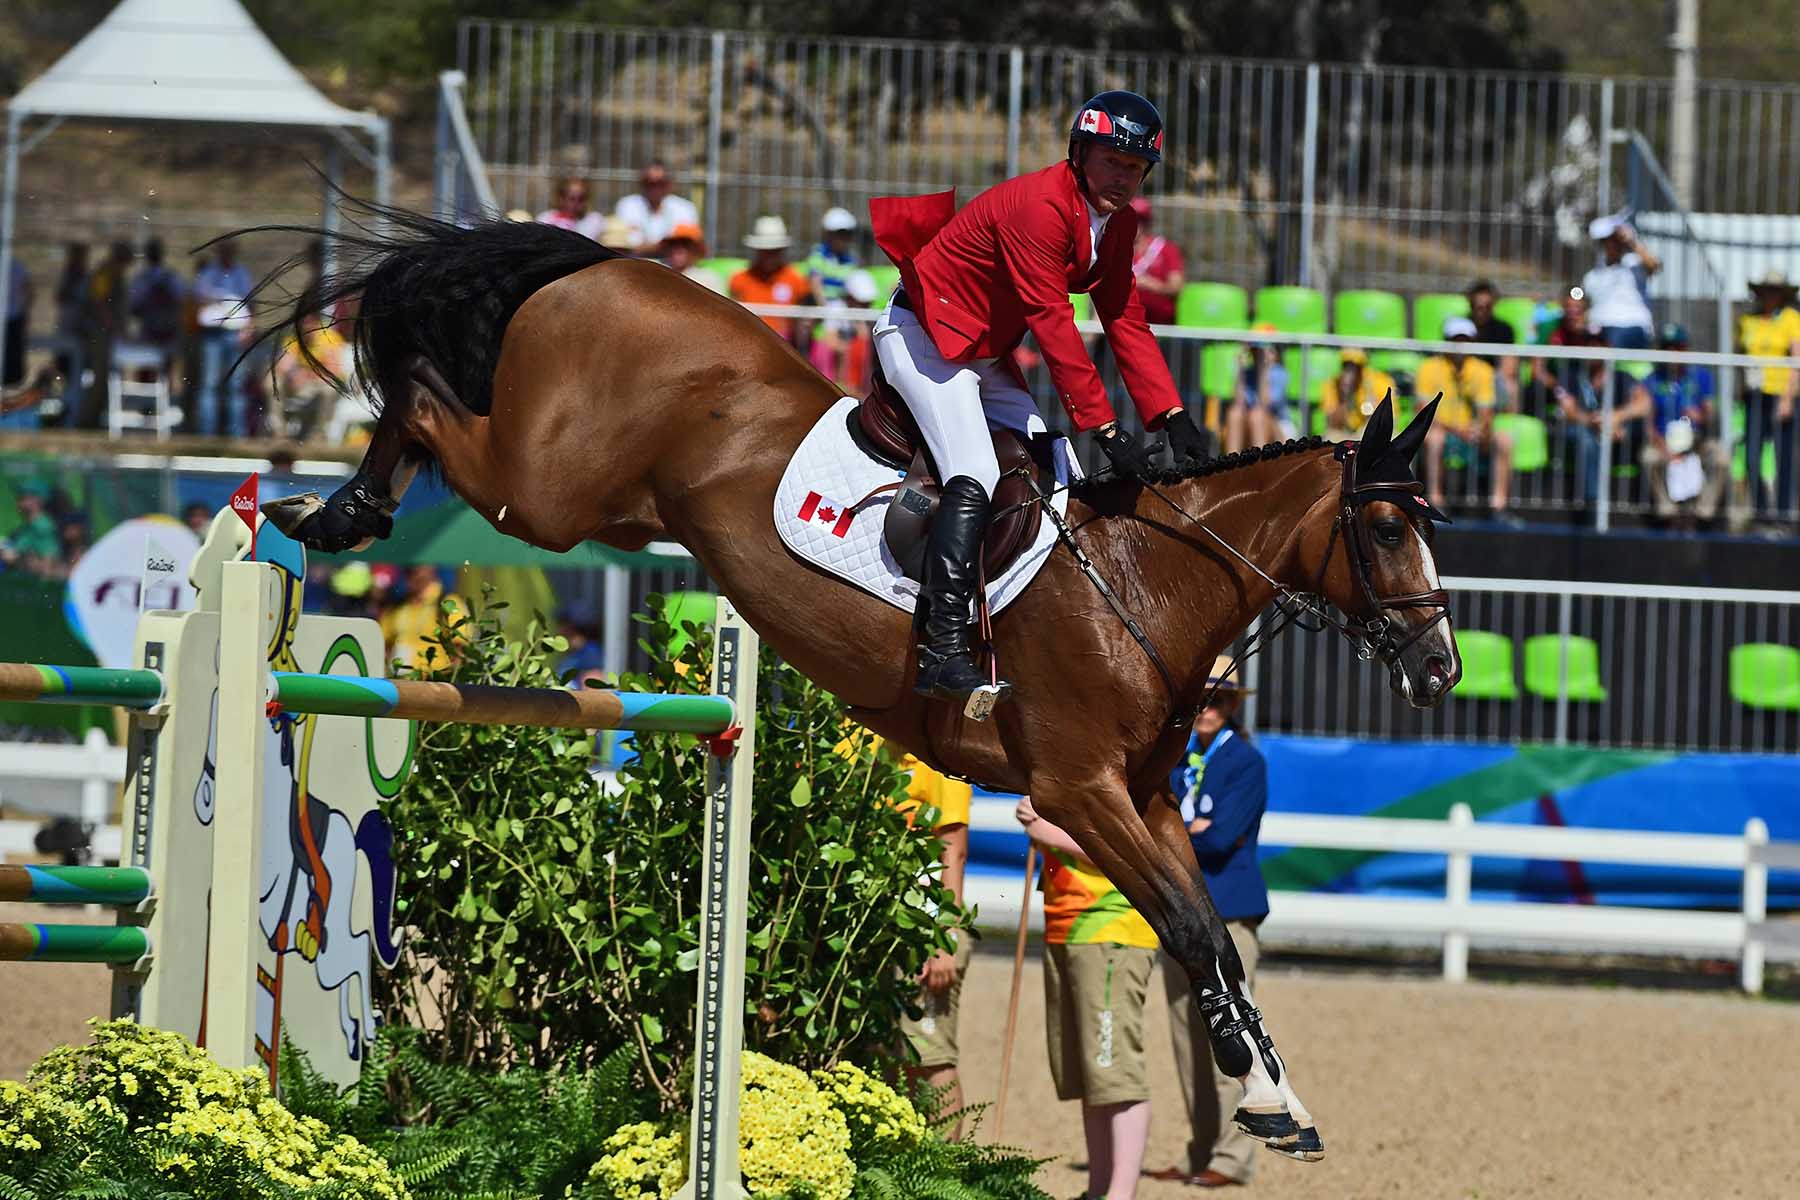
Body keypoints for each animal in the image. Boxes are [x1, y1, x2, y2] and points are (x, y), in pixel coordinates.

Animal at [262, 208, 1461, 1165]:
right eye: (1386, 528)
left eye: (1431, 525)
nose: (1441, 667)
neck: (1144, 577)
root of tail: (604, 264)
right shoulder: (1080, 790)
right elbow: (1194, 930)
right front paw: (1264, 1092)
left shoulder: (1147, 798)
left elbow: (1206, 930)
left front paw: (1276, 1099)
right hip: (546, 492)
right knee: (427, 404)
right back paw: (321, 507)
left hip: (610, 508)